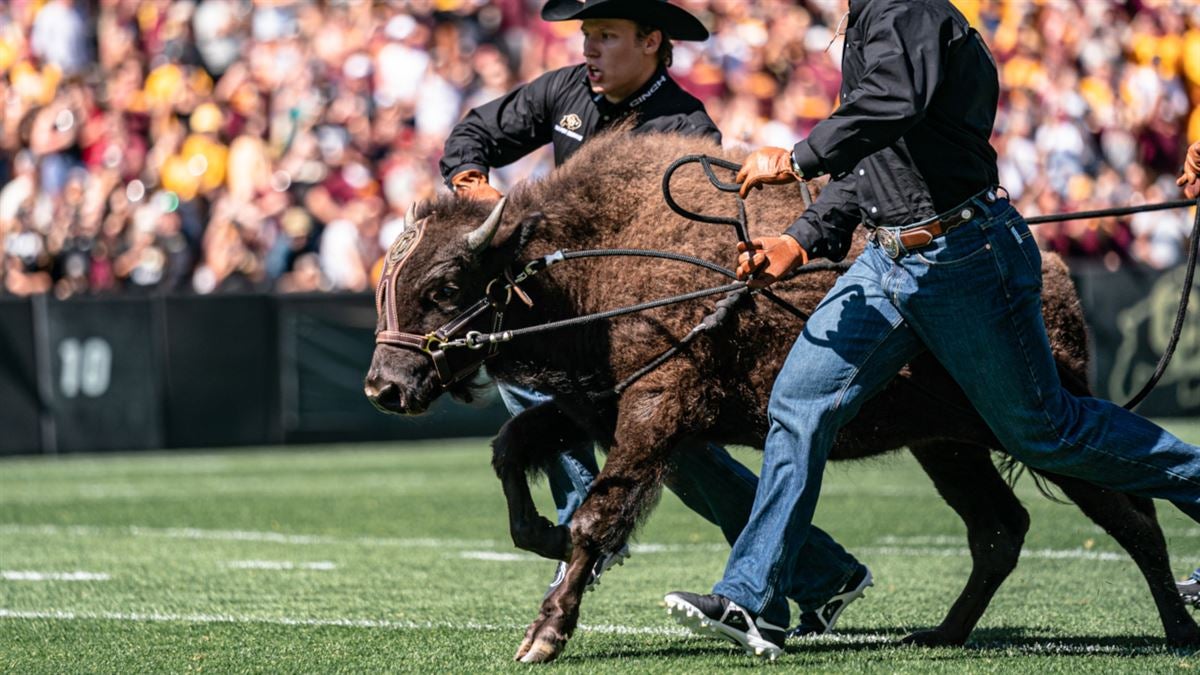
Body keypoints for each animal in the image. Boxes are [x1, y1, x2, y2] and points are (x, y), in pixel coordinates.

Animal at [364, 128, 1200, 658]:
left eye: (445, 286)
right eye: (388, 282)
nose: (384, 385)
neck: (585, 255)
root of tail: (1054, 270)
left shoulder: (653, 415)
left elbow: (599, 512)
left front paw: (544, 634)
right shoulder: (593, 409)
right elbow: (512, 451)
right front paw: (542, 538)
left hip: (1026, 425)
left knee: (1130, 516)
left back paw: (1178, 629)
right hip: (948, 446)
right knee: (1002, 529)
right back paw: (940, 634)